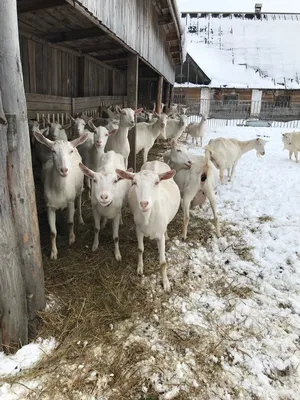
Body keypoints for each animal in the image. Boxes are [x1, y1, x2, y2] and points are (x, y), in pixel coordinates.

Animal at [33, 130, 89, 258]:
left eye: (70, 151)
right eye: (53, 151)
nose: (64, 170)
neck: (59, 190)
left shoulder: (70, 202)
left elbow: (70, 222)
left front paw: (72, 239)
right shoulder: (49, 206)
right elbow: (53, 232)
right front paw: (53, 253)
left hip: (79, 190)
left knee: (79, 203)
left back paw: (81, 220)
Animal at [116, 161, 179, 292]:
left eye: (157, 182)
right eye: (134, 182)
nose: (144, 204)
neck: (148, 216)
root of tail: (156, 161)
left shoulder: (160, 235)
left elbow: (163, 262)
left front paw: (166, 284)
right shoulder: (139, 230)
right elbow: (140, 249)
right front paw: (140, 269)